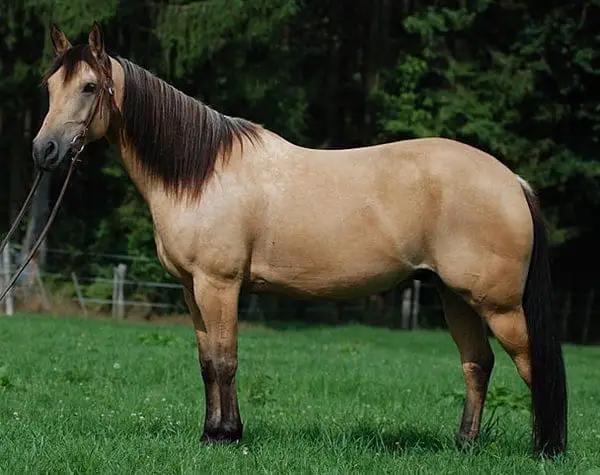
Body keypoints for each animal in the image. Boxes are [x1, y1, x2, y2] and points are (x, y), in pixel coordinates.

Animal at [31, 22, 568, 458]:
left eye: (89, 86)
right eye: (50, 86)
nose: (44, 151)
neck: (202, 174)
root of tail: (512, 181)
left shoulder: (219, 285)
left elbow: (226, 360)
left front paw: (228, 436)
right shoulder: (190, 289)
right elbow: (206, 363)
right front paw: (209, 434)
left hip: (499, 304)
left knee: (532, 365)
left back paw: (546, 449)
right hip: (454, 296)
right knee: (477, 364)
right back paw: (465, 445)